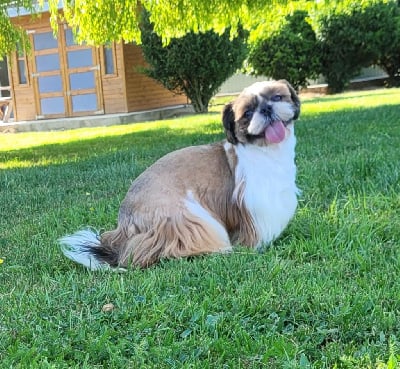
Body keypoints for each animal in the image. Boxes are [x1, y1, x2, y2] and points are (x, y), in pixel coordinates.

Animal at [59, 79, 300, 268]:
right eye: (248, 113)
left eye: (277, 97)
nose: (266, 109)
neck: (267, 150)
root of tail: (124, 229)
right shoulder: (256, 202)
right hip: (186, 219)